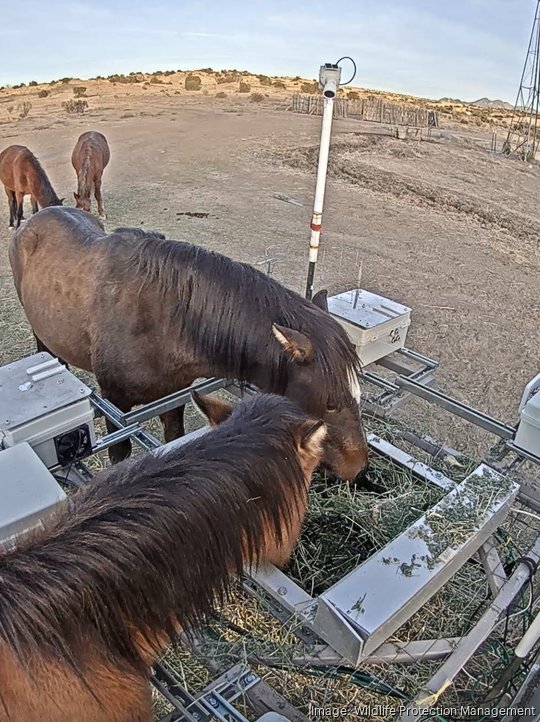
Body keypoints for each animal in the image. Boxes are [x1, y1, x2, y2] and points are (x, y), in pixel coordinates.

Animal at [9, 205, 372, 480]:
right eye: (329, 403)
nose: (359, 469)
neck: (162, 320)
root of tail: (33, 219)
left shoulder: (174, 395)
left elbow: (174, 437)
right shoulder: (116, 407)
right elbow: (120, 455)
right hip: (43, 337)